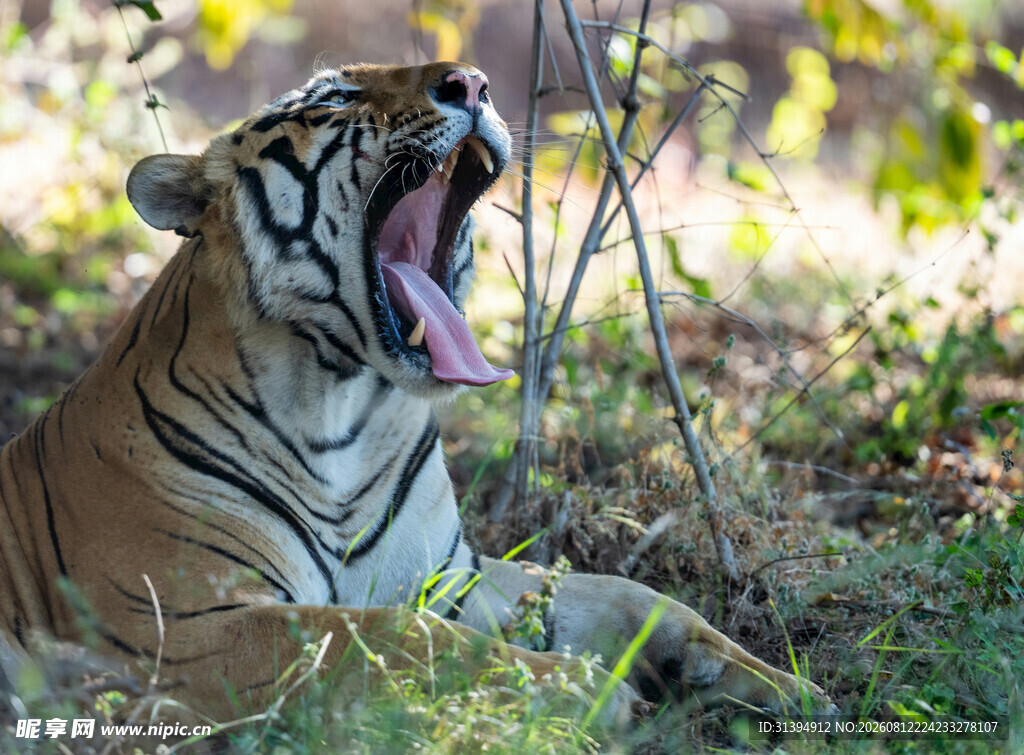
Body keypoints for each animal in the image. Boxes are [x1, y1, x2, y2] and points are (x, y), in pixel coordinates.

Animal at [0, 61, 831, 728]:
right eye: (334, 98)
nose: (474, 83)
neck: (340, 409)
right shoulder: (193, 623)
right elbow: (384, 636)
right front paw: (586, 691)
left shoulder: (453, 577)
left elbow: (628, 593)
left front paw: (772, 679)